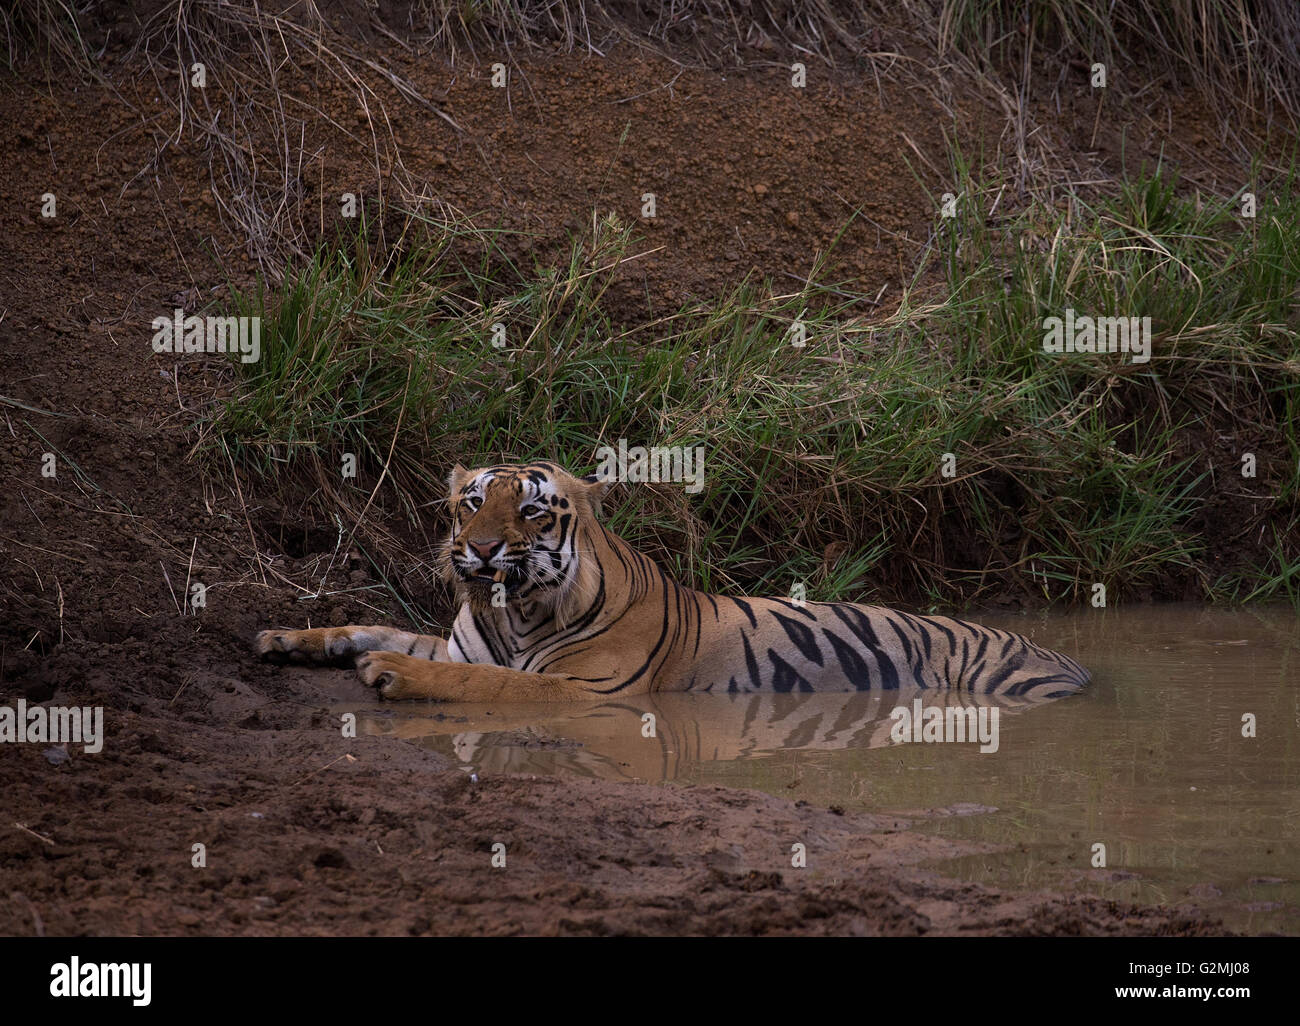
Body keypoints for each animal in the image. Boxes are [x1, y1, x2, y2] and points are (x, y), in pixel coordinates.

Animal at [253, 460, 1086, 702]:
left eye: (530, 509)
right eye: (471, 501)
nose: (481, 548)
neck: (513, 609)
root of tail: (1070, 660)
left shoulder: (589, 689)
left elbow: (492, 684)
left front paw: (387, 672)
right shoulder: (463, 643)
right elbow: (377, 624)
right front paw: (287, 636)